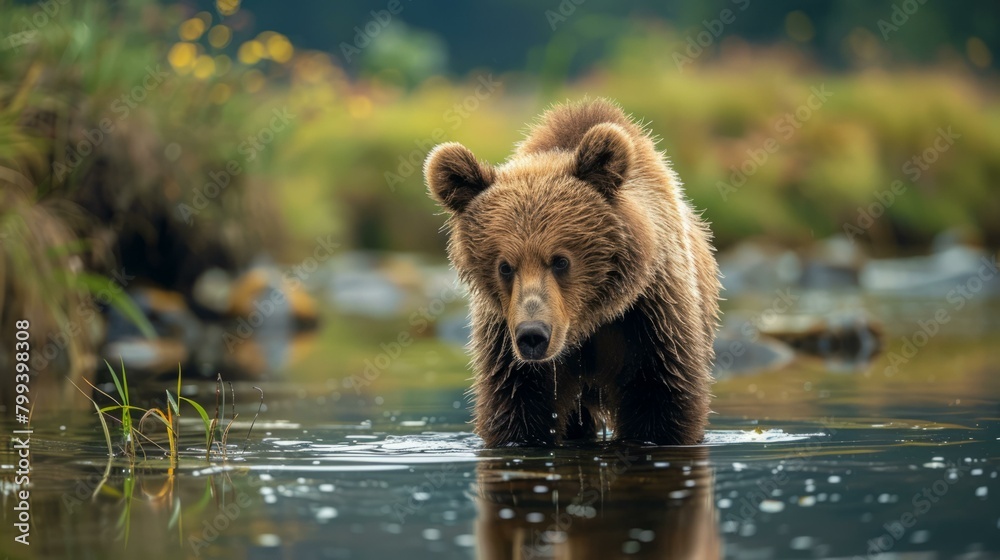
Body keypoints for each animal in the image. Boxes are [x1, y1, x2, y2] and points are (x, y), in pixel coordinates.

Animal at [424, 98, 720, 447]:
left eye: (560, 260)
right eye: (505, 266)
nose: (533, 335)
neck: (584, 326)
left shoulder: (652, 319)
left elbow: (662, 406)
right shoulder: (507, 346)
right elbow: (517, 413)